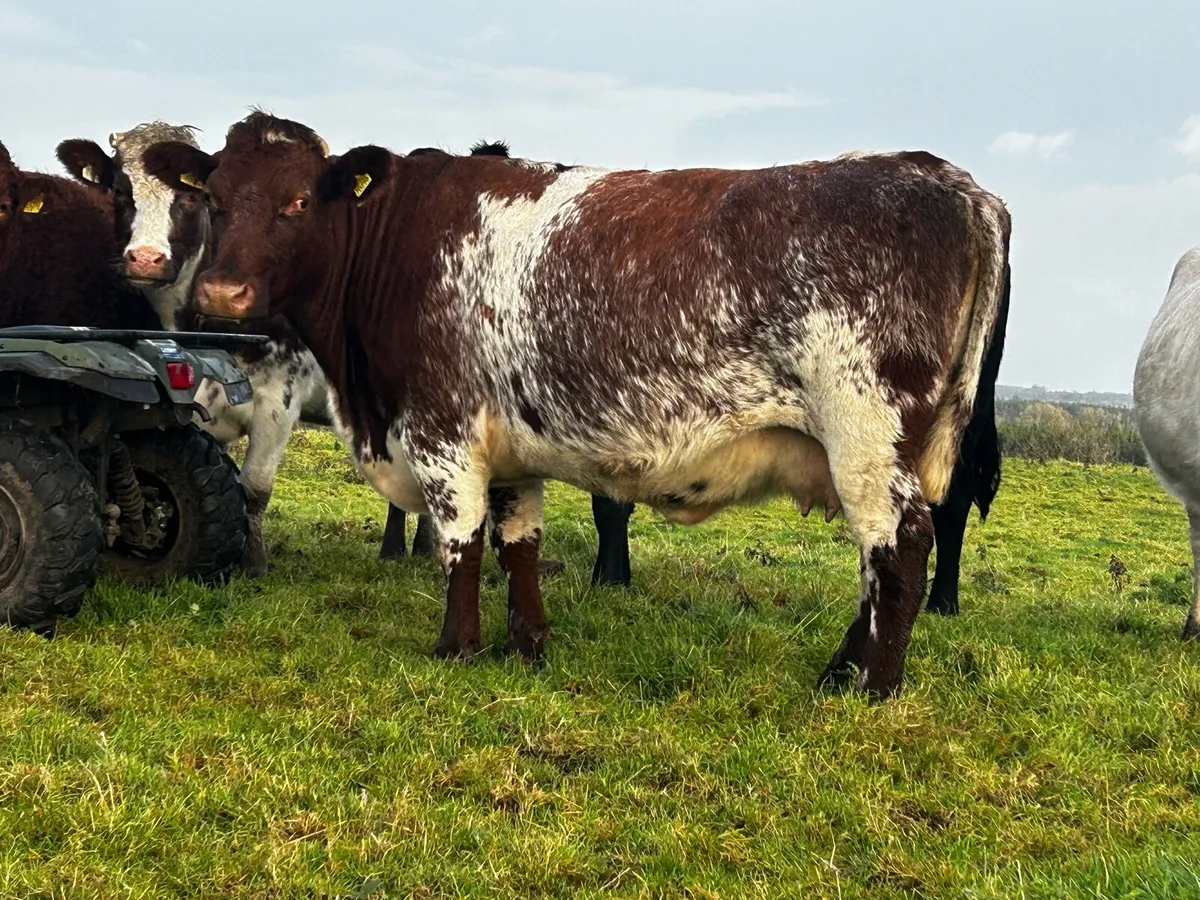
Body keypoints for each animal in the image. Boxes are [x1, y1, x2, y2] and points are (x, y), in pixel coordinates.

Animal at [146, 112, 1010, 699]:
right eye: (214, 198)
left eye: (297, 202)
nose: (223, 294)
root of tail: (955, 183)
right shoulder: (507, 444)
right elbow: (519, 542)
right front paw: (527, 644)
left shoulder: (441, 430)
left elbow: (461, 542)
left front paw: (456, 646)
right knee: (878, 560)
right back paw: (840, 669)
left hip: (867, 434)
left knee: (900, 547)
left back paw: (873, 687)